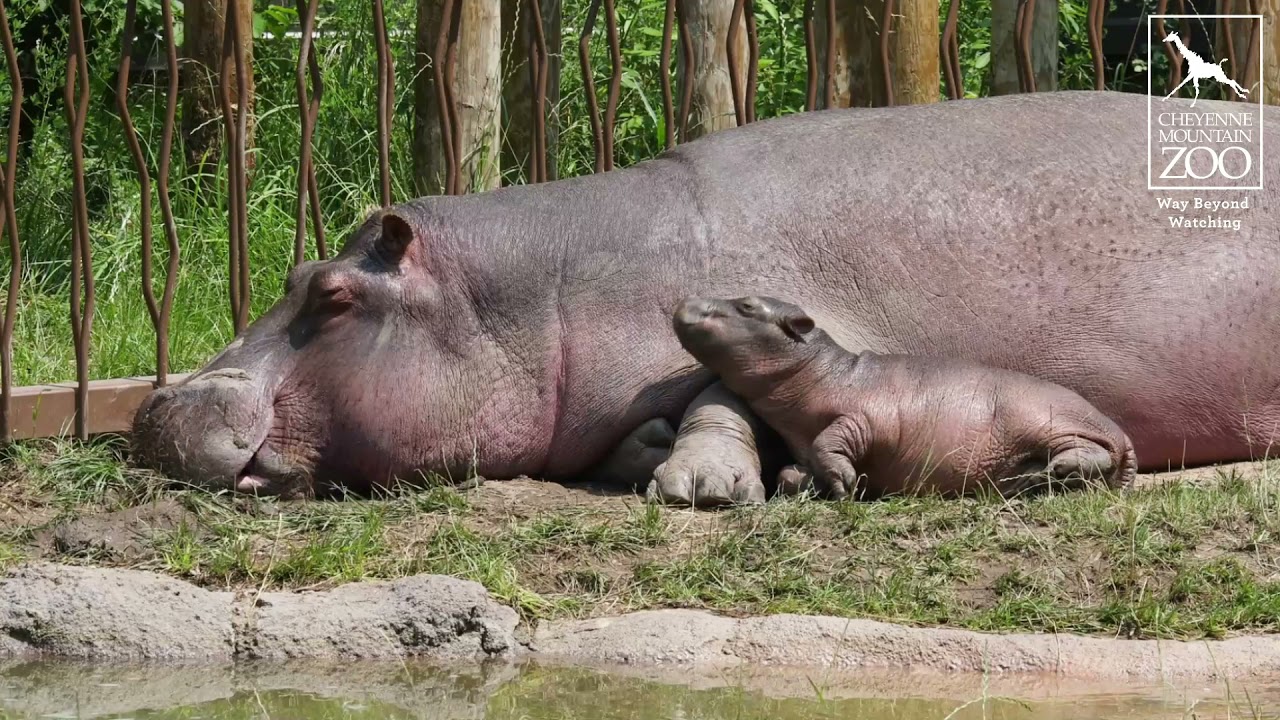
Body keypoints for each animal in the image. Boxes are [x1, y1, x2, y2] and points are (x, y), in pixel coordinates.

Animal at [670, 295, 1138, 499]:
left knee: (1092, 453)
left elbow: (831, 440)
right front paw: (839, 484)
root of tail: (1124, 435)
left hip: (1047, 419)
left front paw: (844, 484)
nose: (686, 301)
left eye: (747, 305)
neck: (821, 369)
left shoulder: (863, 415)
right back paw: (1031, 479)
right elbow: (792, 470)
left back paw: (1055, 470)